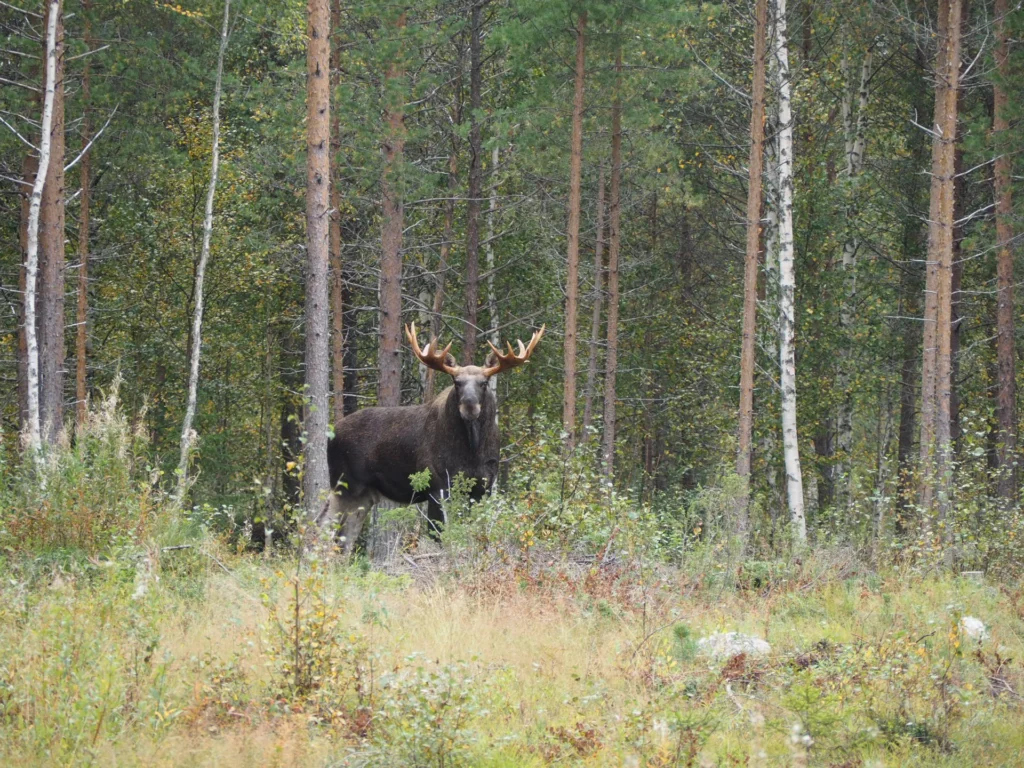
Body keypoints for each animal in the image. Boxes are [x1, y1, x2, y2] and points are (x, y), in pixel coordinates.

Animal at [323, 322, 544, 552]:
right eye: (456, 382)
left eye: (484, 382)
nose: (469, 405)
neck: (473, 450)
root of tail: (331, 433)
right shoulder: (438, 484)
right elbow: (439, 536)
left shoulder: (484, 485)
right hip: (343, 485)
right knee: (322, 527)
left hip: (364, 495)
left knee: (344, 540)